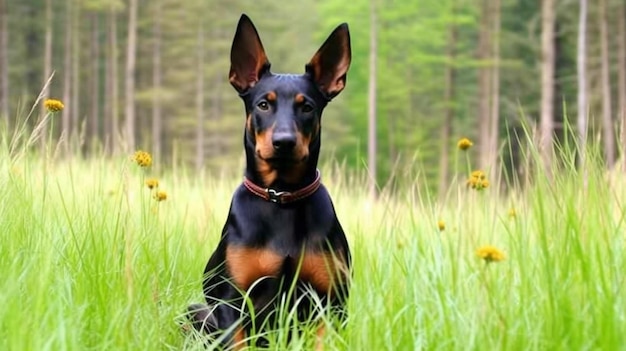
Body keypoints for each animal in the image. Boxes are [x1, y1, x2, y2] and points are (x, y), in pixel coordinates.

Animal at [185, 13, 352, 350]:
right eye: (263, 104)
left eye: (307, 106)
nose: (284, 142)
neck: (281, 196)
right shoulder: (231, 301)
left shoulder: (330, 303)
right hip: (197, 311)